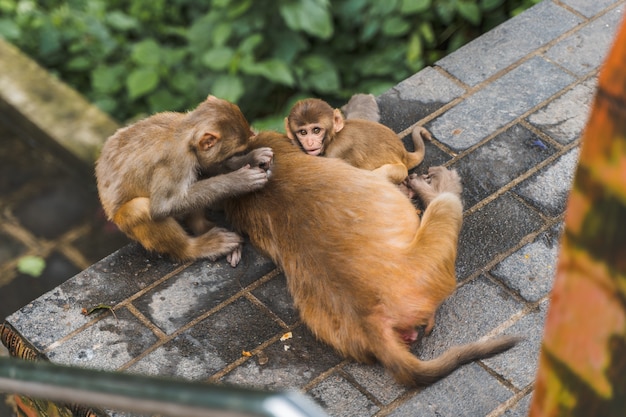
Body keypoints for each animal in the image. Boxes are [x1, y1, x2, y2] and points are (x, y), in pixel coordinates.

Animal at [96, 94, 272, 266]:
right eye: (234, 153)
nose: (241, 157)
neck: (185, 134)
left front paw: (251, 158)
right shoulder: (176, 160)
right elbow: (164, 205)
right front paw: (239, 180)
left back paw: (203, 227)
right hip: (124, 224)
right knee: (141, 209)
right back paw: (196, 247)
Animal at [282, 97, 428, 184]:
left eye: (316, 130)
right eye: (303, 132)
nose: (310, 142)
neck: (333, 138)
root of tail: (404, 154)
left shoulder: (336, 152)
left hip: (399, 172)